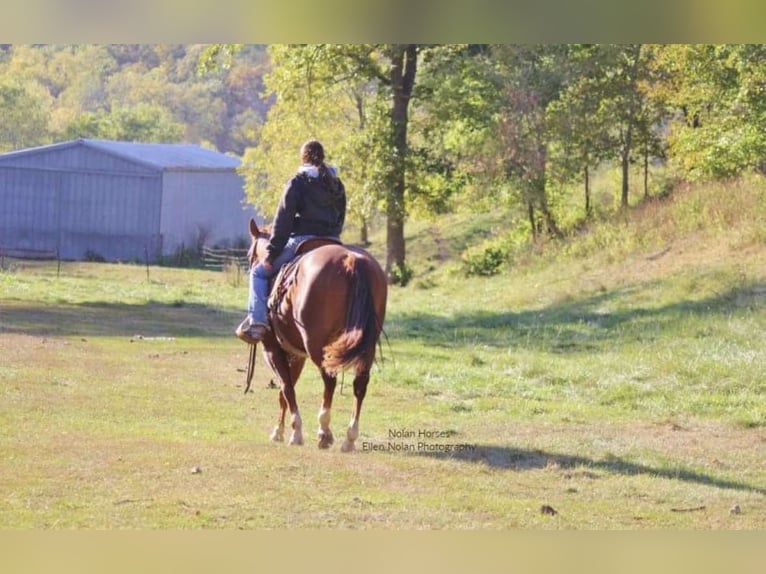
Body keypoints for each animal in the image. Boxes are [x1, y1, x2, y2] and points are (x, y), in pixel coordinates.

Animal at [248, 218, 390, 452]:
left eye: (249, 255)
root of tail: (352, 260)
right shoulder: (296, 353)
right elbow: (286, 389)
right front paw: (280, 430)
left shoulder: (272, 348)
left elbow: (286, 388)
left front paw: (294, 432)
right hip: (366, 345)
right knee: (360, 384)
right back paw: (350, 438)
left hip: (317, 345)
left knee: (329, 380)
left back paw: (324, 431)